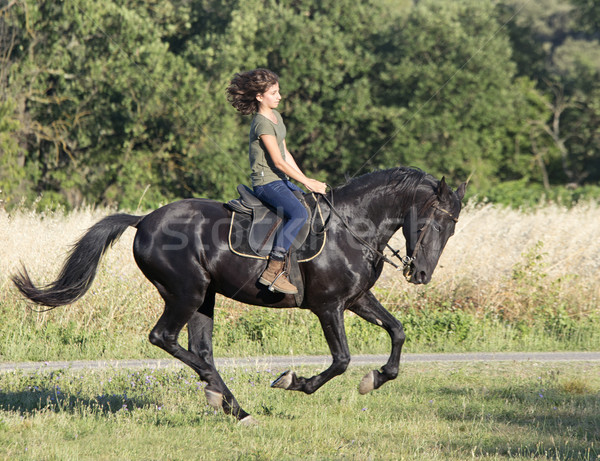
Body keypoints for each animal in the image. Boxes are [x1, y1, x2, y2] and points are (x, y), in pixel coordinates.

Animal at [11, 167, 466, 422]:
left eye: (453, 228)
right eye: (433, 222)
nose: (420, 274)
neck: (352, 226)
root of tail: (144, 220)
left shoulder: (356, 300)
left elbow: (398, 332)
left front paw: (376, 378)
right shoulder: (329, 306)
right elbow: (341, 360)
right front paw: (293, 381)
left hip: (204, 298)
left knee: (199, 349)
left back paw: (232, 405)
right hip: (187, 292)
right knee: (166, 338)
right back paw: (221, 396)